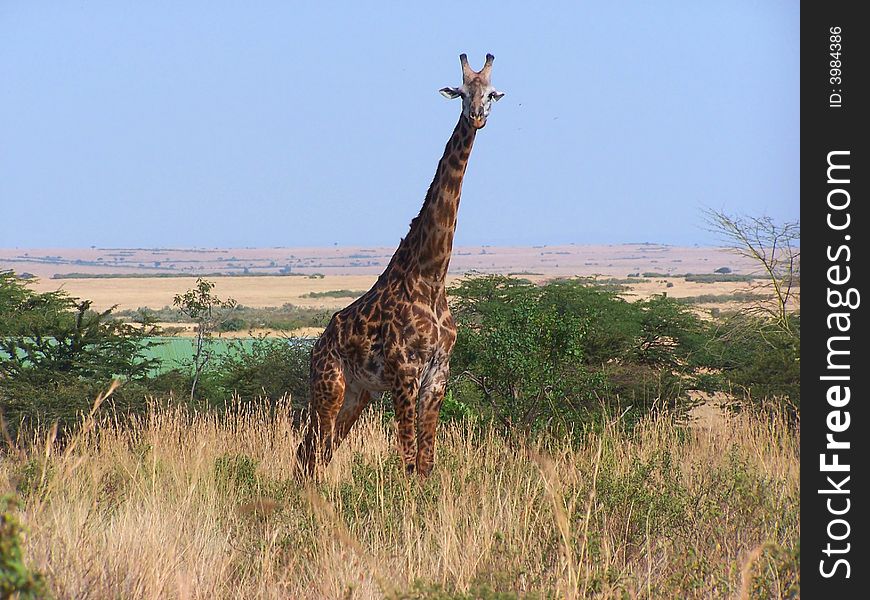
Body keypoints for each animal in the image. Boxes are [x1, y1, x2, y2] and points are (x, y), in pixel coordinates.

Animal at [298, 52, 508, 478]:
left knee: (319, 451)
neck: (431, 275)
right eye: (462, 91)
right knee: (310, 452)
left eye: (492, 92)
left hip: (358, 394)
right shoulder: (404, 373)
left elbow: (426, 462)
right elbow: (409, 461)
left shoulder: (438, 374)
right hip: (329, 386)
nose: (477, 115)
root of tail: (315, 349)